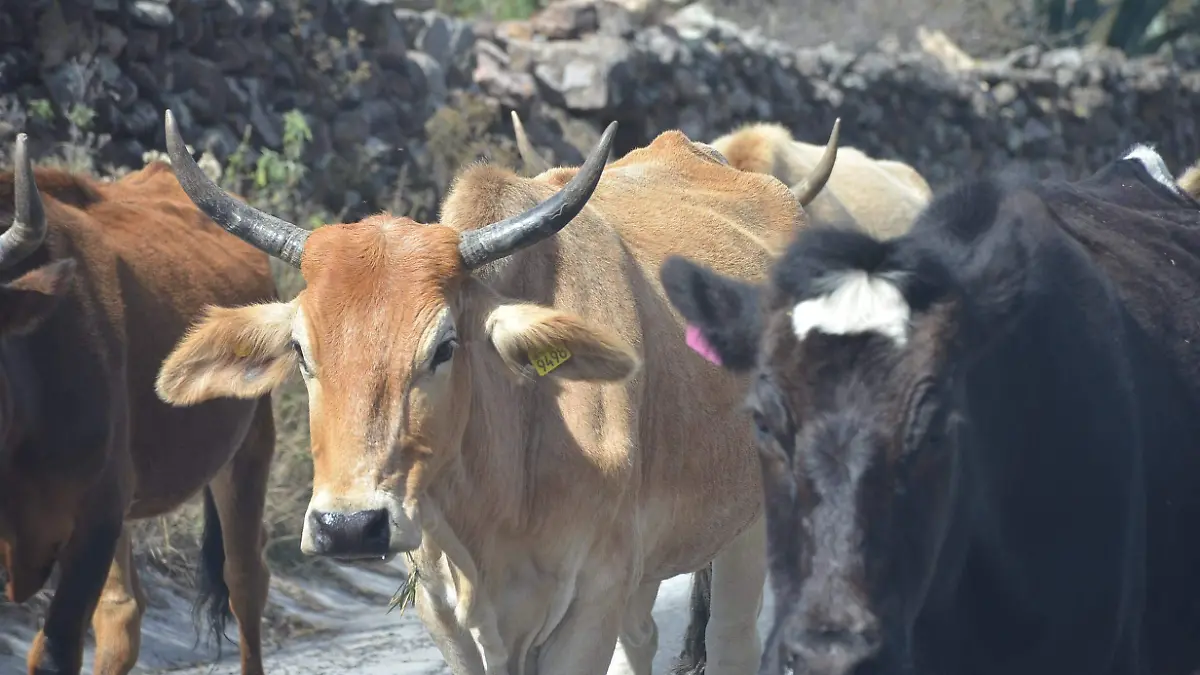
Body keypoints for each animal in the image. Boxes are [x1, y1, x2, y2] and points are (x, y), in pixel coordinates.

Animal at [152, 111, 835, 672]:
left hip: (752, 525)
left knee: (732, 640)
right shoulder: (448, 614)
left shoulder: (590, 605)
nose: (348, 527)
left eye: (444, 346)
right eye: (300, 350)